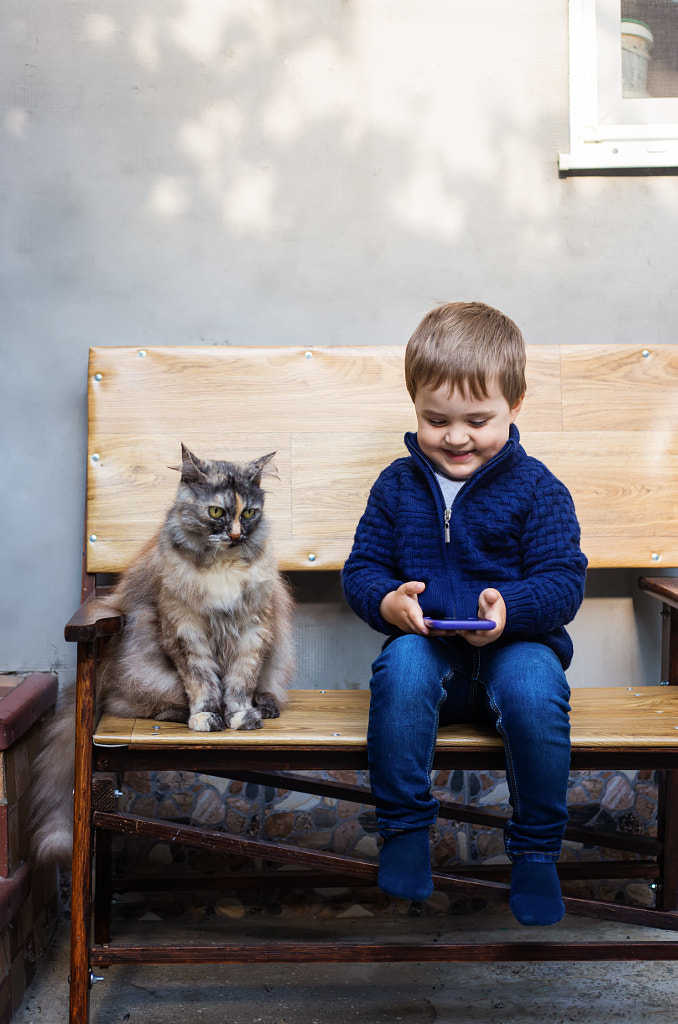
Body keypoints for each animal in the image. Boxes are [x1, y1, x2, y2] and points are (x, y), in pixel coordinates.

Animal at [30, 442, 294, 864]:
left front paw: (240, 715)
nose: (236, 534)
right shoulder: (185, 627)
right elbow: (203, 681)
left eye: (250, 513)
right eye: (216, 512)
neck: (222, 566)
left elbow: (240, 681)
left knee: (265, 688)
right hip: (145, 670)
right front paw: (207, 716)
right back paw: (177, 713)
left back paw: (264, 706)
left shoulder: (253, 628)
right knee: (123, 703)